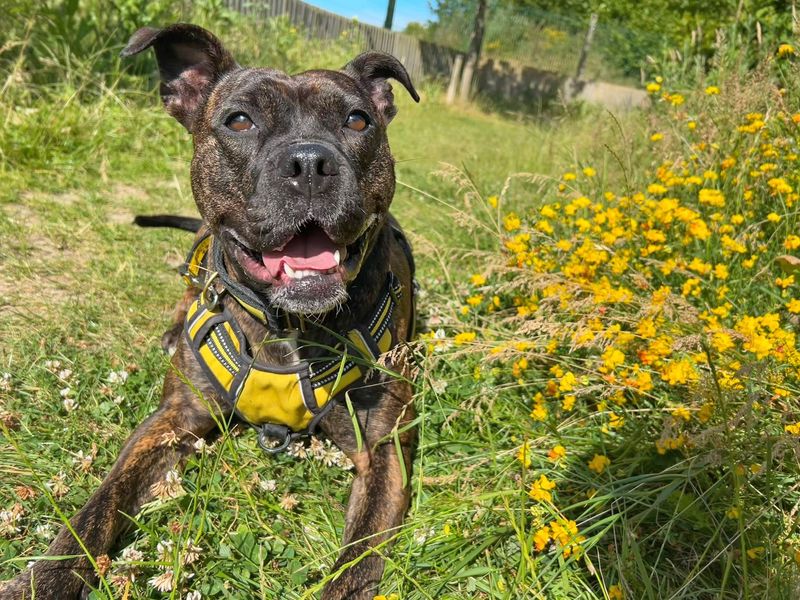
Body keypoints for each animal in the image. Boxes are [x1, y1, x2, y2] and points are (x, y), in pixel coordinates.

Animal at [1, 23, 418, 600]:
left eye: (358, 120)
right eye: (239, 120)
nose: (310, 163)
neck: (285, 324)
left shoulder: (381, 450)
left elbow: (356, 567)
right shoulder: (171, 423)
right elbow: (96, 509)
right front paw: (43, 579)